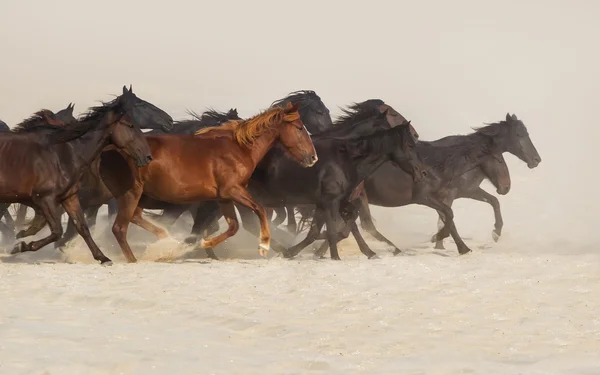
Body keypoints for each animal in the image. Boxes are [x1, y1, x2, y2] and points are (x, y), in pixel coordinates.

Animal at [0, 86, 173, 266]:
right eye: (140, 105)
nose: (169, 120)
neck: (65, 153)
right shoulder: (47, 199)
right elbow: (58, 231)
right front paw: (21, 245)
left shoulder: (71, 198)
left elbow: (81, 227)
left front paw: (103, 257)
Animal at [97, 101, 318, 262]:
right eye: (299, 128)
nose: (313, 157)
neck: (238, 149)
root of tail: (108, 150)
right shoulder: (233, 190)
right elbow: (259, 210)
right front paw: (263, 246)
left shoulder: (223, 198)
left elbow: (232, 227)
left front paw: (201, 243)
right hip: (131, 193)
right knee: (119, 228)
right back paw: (134, 259)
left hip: (142, 196)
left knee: (136, 219)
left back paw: (166, 240)